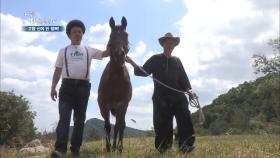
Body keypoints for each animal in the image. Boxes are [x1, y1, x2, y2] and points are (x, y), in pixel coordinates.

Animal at [97, 16, 132, 152]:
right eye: (111, 36)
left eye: (126, 35)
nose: (119, 55)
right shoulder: (103, 106)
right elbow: (107, 126)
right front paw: (107, 148)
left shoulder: (123, 105)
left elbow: (121, 126)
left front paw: (120, 148)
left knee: (118, 126)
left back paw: (116, 146)